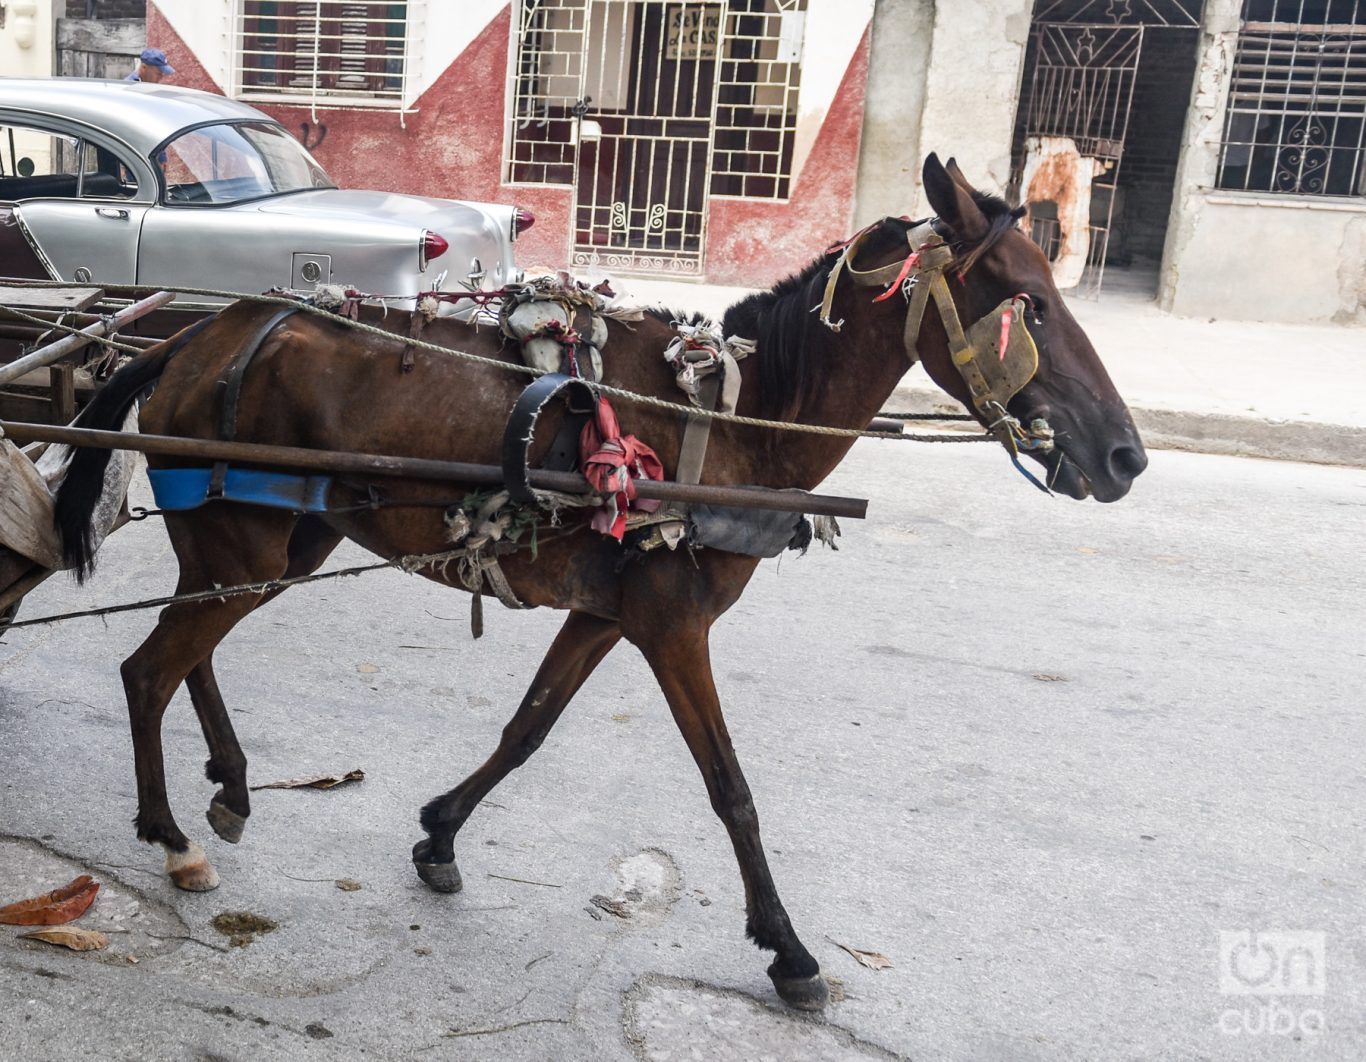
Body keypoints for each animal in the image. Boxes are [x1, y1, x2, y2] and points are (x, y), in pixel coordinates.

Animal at [53, 157, 1141, 1011]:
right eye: (1032, 303)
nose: (1124, 455)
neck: (737, 418)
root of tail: (188, 338)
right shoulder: (674, 626)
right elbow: (731, 790)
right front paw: (787, 950)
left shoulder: (608, 614)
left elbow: (526, 729)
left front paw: (440, 837)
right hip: (248, 549)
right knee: (149, 670)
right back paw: (174, 837)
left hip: (276, 544)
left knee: (188, 651)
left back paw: (231, 783)